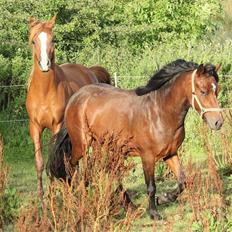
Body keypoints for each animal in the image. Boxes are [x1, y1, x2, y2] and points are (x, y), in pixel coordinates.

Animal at [25, 15, 111, 200]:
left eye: (53, 39)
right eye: (34, 41)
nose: (45, 64)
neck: (44, 92)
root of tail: (89, 71)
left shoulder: (56, 126)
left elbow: (53, 156)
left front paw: (54, 193)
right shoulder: (34, 127)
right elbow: (39, 162)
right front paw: (42, 197)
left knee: (87, 158)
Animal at [47, 59, 223, 219]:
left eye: (216, 90)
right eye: (203, 91)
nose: (218, 122)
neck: (160, 112)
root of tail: (76, 97)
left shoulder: (170, 154)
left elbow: (182, 181)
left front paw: (164, 198)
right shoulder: (148, 157)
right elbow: (151, 186)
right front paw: (154, 213)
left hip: (102, 146)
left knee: (101, 171)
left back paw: (126, 205)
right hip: (81, 145)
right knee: (72, 168)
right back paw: (77, 200)